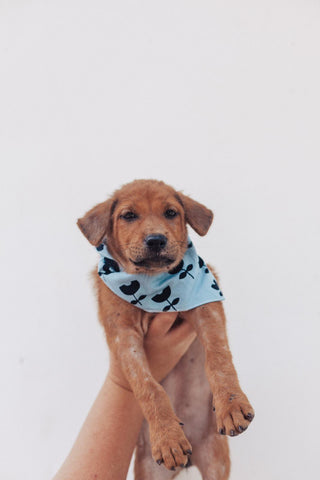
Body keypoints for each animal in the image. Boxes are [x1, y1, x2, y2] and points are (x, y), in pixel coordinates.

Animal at [76, 178, 254, 478]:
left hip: (217, 461)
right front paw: (168, 438)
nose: (156, 240)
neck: (152, 282)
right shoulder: (122, 334)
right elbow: (149, 387)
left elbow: (218, 357)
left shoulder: (206, 304)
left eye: (171, 213)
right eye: (128, 215)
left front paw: (232, 404)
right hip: (150, 469)